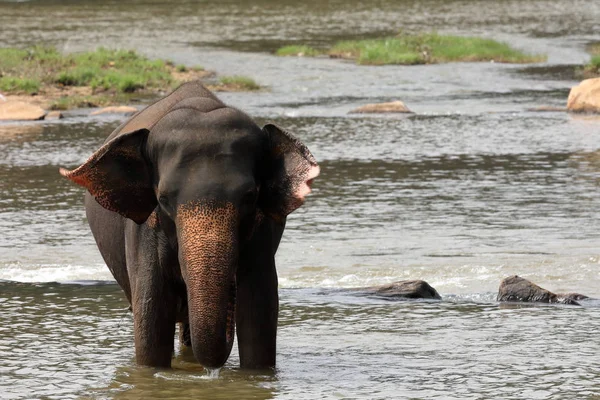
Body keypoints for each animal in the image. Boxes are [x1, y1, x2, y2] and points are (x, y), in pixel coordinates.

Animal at [61, 80, 322, 368]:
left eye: (250, 196)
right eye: (163, 199)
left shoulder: (262, 234)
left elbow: (258, 314)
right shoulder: (145, 231)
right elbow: (151, 322)